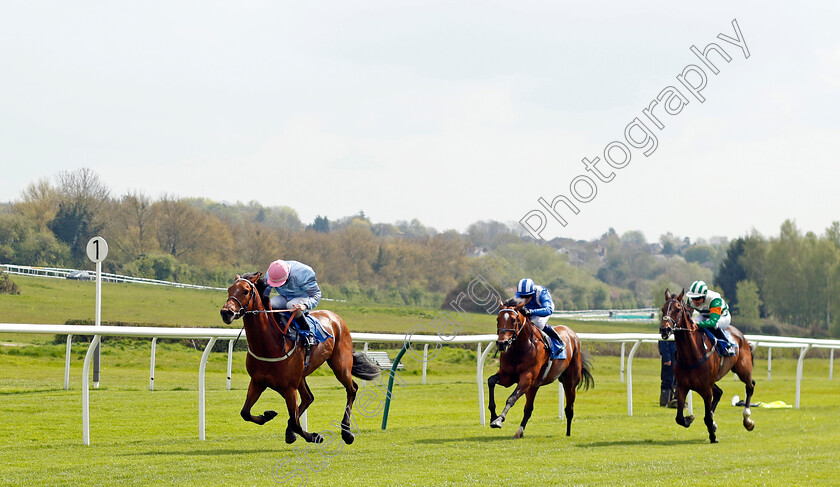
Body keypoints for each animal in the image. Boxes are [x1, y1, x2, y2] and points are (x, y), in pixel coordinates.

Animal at [218, 272, 378, 444]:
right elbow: (245, 413)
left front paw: (314, 436)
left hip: (340, 366)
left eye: (246, 291)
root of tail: (335, 317)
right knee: (308, 398)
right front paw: (268, 415)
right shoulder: (257, 382)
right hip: (301, 375)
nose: (226, 312)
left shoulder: (289, 388)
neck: (269, 343)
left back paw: (346, 432)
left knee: (352, 389)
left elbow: (295, 422)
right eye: (229, 289)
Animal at [488, 300, 592, 440]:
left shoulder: (527, 378)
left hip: (569, 382)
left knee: (569, 408)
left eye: (514, 320)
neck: (518, 349)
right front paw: (493, 416)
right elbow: (491, 381)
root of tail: (572, 334)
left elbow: (511, 398)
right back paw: (519, 432)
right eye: (498, 319)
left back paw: (568, 433)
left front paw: (499, 420)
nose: (502, 343)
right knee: (528, 409)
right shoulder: (507, 376)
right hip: (534, 386)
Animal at [660, 290, 756, 446]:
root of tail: (741, 336)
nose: (665, 329)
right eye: (663, 309)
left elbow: (707, 417)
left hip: (743, 370)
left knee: (750, 386)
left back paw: (747, 420)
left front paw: (713, 436)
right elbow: (679, 418)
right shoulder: (682, 385)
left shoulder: (706, 388)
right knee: (719, 392)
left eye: (678, 309)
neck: (691, 355)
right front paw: (690, 419)